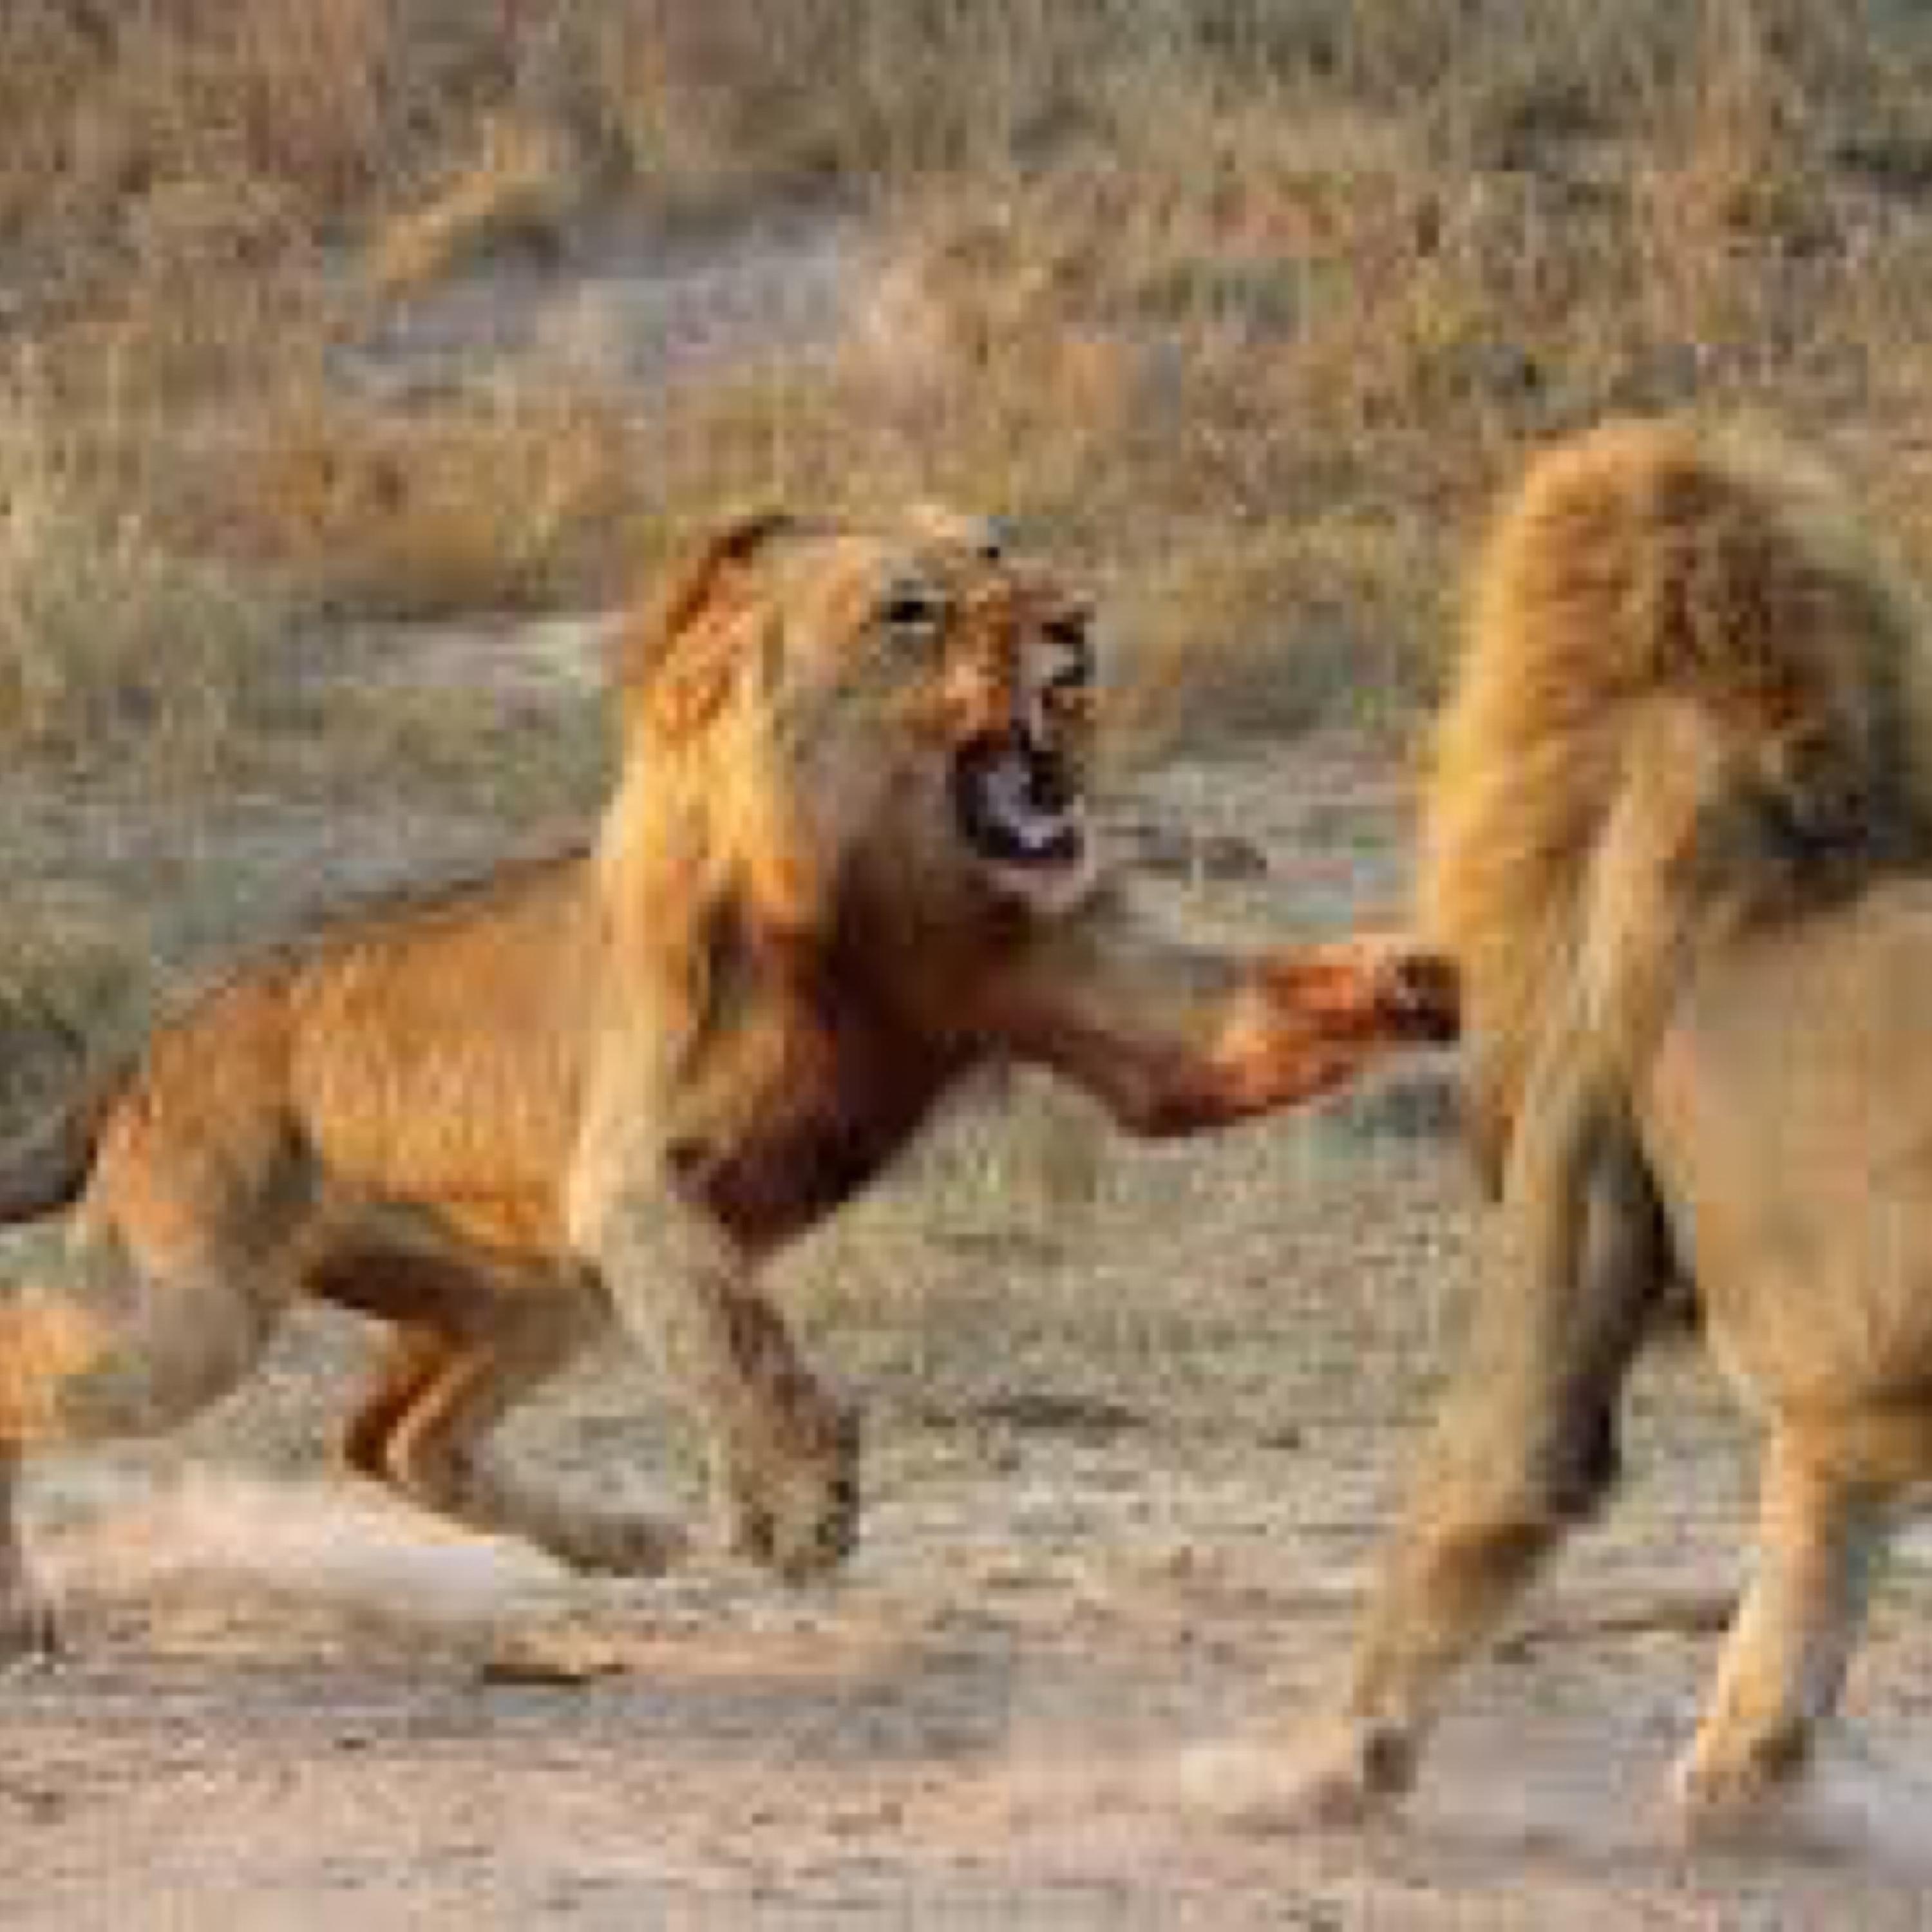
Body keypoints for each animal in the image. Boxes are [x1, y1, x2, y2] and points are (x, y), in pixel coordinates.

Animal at [0, 505, 1456, 1657]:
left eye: (1002, 553)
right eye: (912, 611)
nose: (1078, 625)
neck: (880, 890)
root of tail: (156, 1044)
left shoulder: (1129, 1027)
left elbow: (1272, 1015)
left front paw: (1436, 973)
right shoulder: (632, 1181)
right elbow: (737, 1331)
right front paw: (803, 1506)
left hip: (537, 1290)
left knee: (391, 1438)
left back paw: (621, 1542)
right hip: (189, 1317)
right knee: (57, 1359)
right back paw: (24, 1609)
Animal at [1224, 415, 1932, 1842]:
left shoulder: (1578, 1104)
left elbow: (1496, 1467)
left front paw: (1319, 1768)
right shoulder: (1852, 1391)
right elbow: (1812, 1566)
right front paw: (1742, 1789)